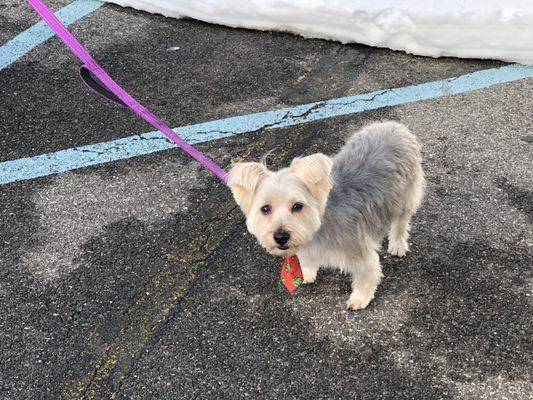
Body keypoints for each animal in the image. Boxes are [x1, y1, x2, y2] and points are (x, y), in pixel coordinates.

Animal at [228, 122, 424, 310]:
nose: (281, 237)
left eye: (297, 206)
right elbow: (307, 260)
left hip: (405, 193)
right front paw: (306, 272)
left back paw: (397, 244)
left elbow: (366, 274)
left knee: (401, 222)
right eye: (265, 209)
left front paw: (360, 298)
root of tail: (393, 125)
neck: (320, 226)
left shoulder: (358, 248)